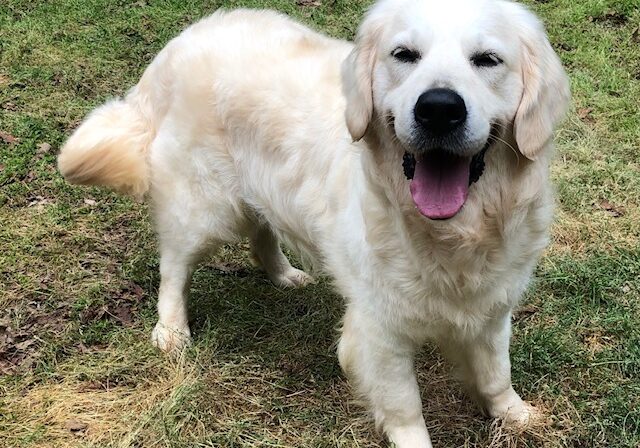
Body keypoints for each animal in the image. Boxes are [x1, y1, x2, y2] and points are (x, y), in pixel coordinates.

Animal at [58, 1, 568, 446]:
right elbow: (404, 405)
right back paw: (171, 331)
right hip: (201, 209)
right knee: (174, 268)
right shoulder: (379, 330)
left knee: (261, 235)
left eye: (488, 60)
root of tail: (183, 39)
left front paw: (516, 414)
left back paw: (284, 275)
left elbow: (496, 371)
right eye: (404, 54)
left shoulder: (492, 306)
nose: (439, 108)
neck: (455, 233)